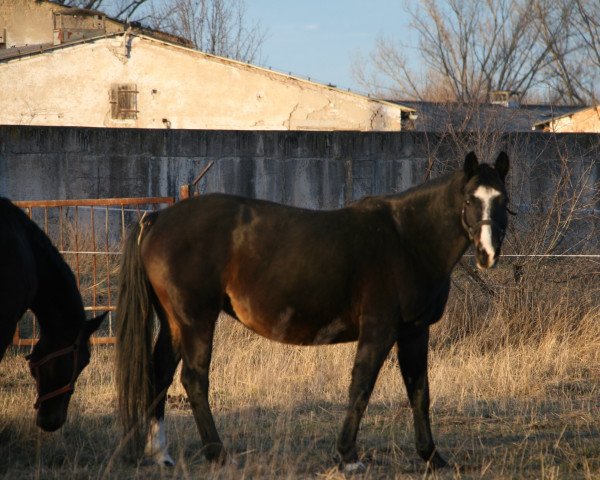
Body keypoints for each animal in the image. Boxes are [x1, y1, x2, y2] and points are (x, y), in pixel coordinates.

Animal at [116, 152, 510, 470]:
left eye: (502, 200)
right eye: (470, 199)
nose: (488, 254)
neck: (406, 239)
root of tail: (158, 218)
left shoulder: (415, 331)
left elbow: (419, 392)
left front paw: (432, 457)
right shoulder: (379, 330)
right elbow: (361, 387)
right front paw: (348, 456)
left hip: (174, 323)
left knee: (160, 375)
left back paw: (161, 454)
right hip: (196, 320)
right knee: (194, 380)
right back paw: (218, 454)